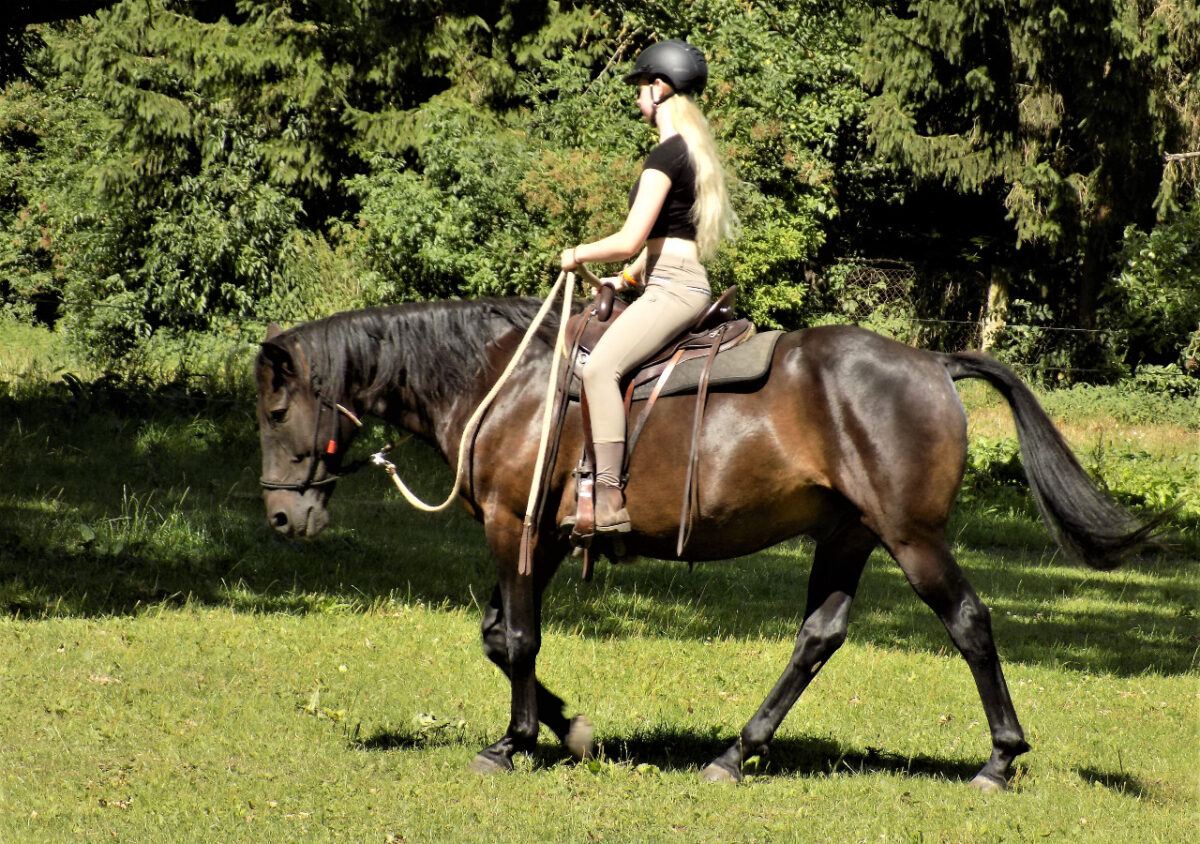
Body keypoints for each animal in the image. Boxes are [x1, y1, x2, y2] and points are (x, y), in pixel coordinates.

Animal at [255, 297, 1161, 792]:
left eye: (275, 411)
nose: (281, 520)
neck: (499, 383)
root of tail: (932, 361)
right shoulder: (540, 538)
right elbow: (499, 638)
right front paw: (569, 730)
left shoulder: (513, 527)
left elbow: (516, 640)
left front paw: (513, 744)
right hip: (849, 535)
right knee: (818, 637)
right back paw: (736, 752)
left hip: (913, 539)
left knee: (969, 623)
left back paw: (1000, 760)